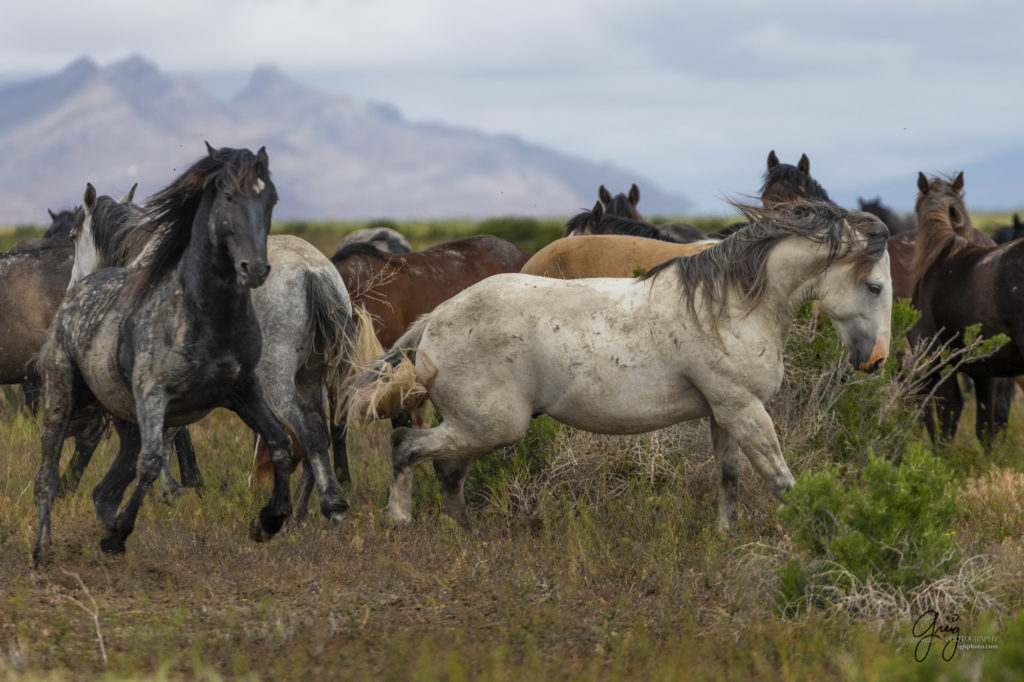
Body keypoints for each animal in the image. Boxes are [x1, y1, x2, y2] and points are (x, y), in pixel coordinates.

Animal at [32, 144, 348, 561]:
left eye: (71, 233)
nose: (72, 288)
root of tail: (314, 272)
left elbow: (169, 437)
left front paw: (169, 491)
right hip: (312, 377)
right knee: (320, 434)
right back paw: (301, 512)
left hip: (276, 380)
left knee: (308, 430)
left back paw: (329, 509)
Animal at [350, 199, 888, 528]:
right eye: (875, 285)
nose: (875, 361)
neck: (729, 307)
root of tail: (434, 321)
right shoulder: (744, 409)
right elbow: (781, 479)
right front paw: (821, 535)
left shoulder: (725, 413)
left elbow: (729, 478)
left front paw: (724, 535)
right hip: (491, 425)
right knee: (407, 446)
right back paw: (400, 518)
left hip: (478, 427)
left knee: (446, 470)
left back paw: (467, 531)